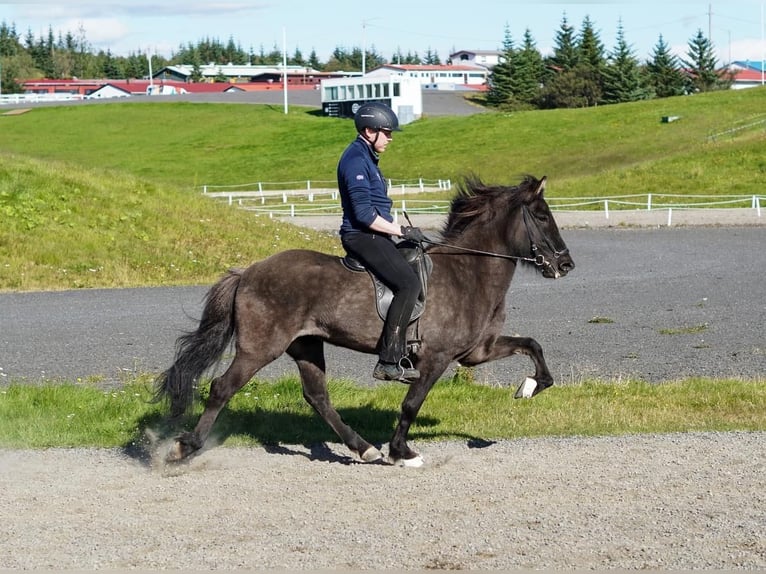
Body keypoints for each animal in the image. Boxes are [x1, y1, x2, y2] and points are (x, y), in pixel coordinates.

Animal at [154, 174, 576, 468]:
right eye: (542, 216)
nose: (566, 265)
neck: (468, 271)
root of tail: (248, 271)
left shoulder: (476, 352)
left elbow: (532, 345)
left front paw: (530, 386)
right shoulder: (436, 358)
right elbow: (411, 403)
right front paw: (402, 451)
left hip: (305, 345)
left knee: (317, 397)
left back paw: (364, 449)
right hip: (260, 348)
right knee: (223, 388)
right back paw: (184, 448)